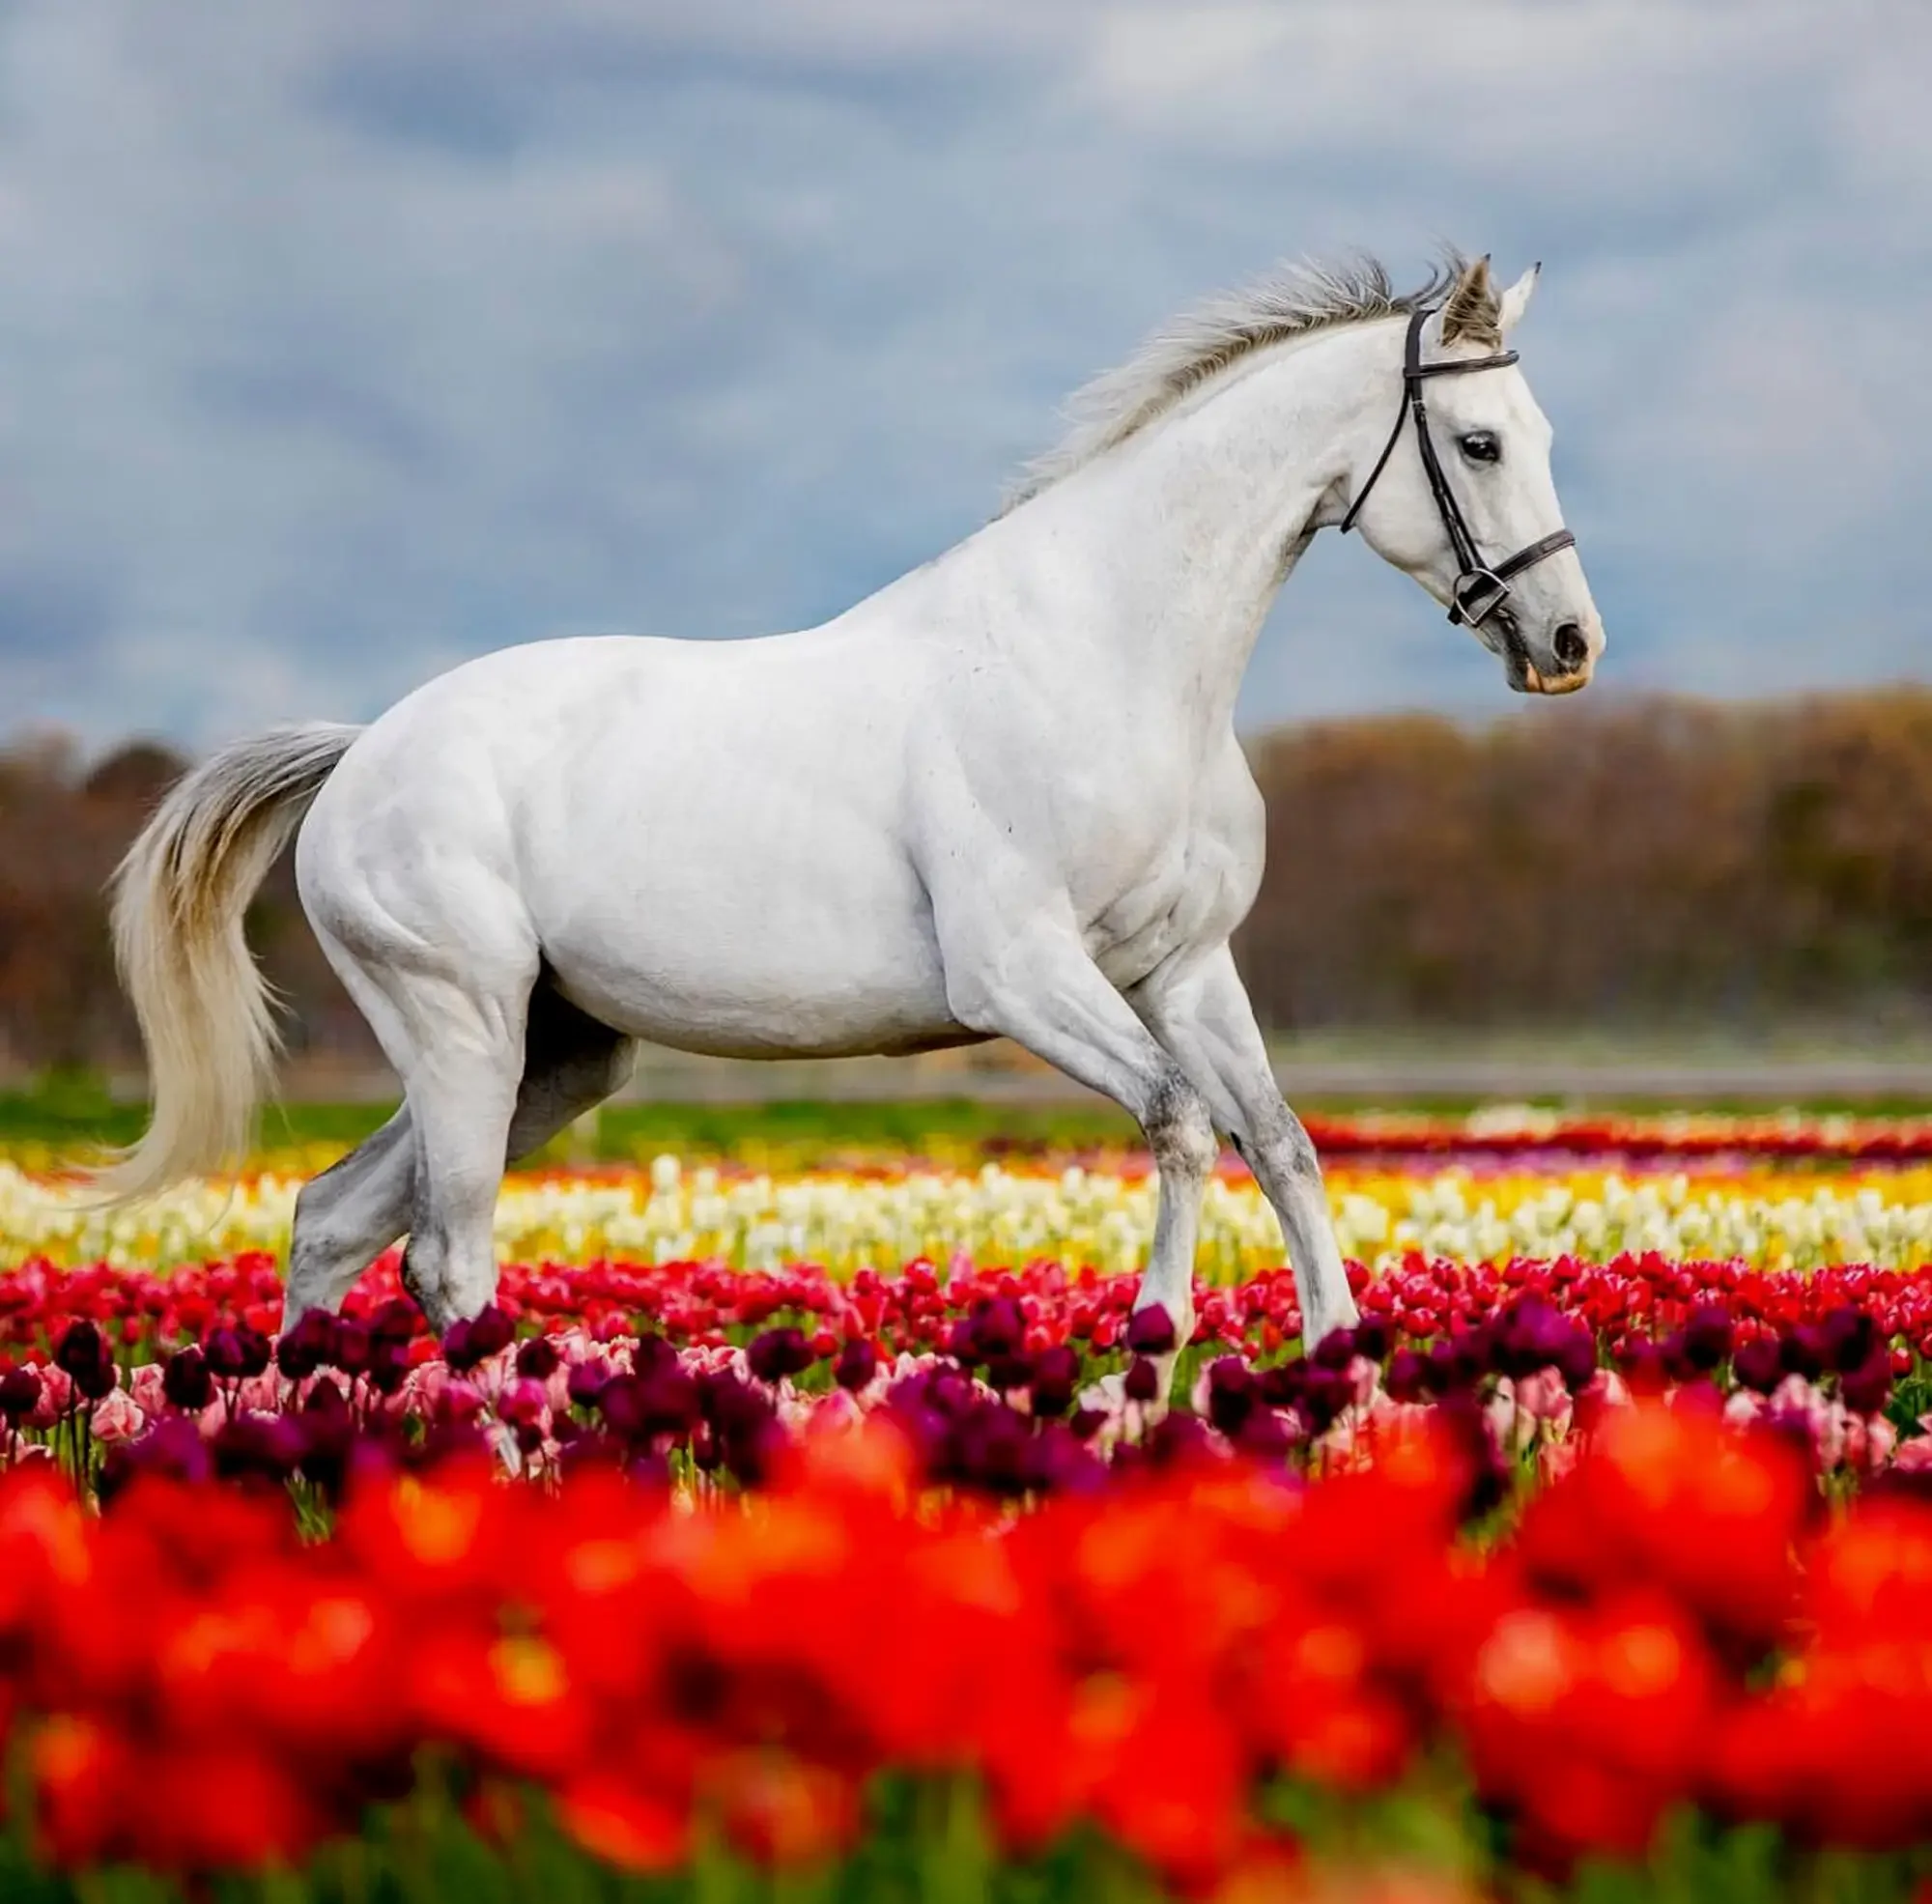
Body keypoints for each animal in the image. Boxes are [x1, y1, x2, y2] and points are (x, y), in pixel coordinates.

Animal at [99, 250, 1604, 1380]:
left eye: (1537, 434)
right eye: (1477, 441)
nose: (1566, 644)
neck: (1106, 655)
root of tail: (362, 753)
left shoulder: (1182, 968)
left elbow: (1279, 1143)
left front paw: (1338, 1376)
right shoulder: (1024, 975)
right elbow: (1181, 1126)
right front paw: (1137, 1365)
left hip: (555, 1057)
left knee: (332, 1219)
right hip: (460, 1029)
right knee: (446, 1255)